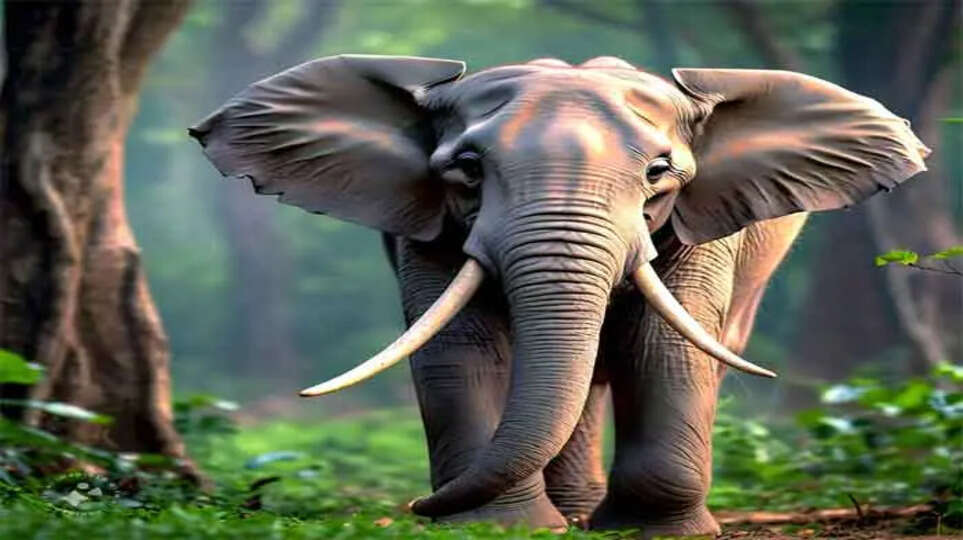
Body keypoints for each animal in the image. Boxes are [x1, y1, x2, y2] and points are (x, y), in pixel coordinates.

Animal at [189, 54, 928, 536]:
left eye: (659, 172)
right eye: (467, 169)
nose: (415, 508)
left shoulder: (702, 221)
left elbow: (663, 342)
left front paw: (652, 530)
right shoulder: (423, 224)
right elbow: (461, 343)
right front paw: (500, 527)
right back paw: (567, 515)